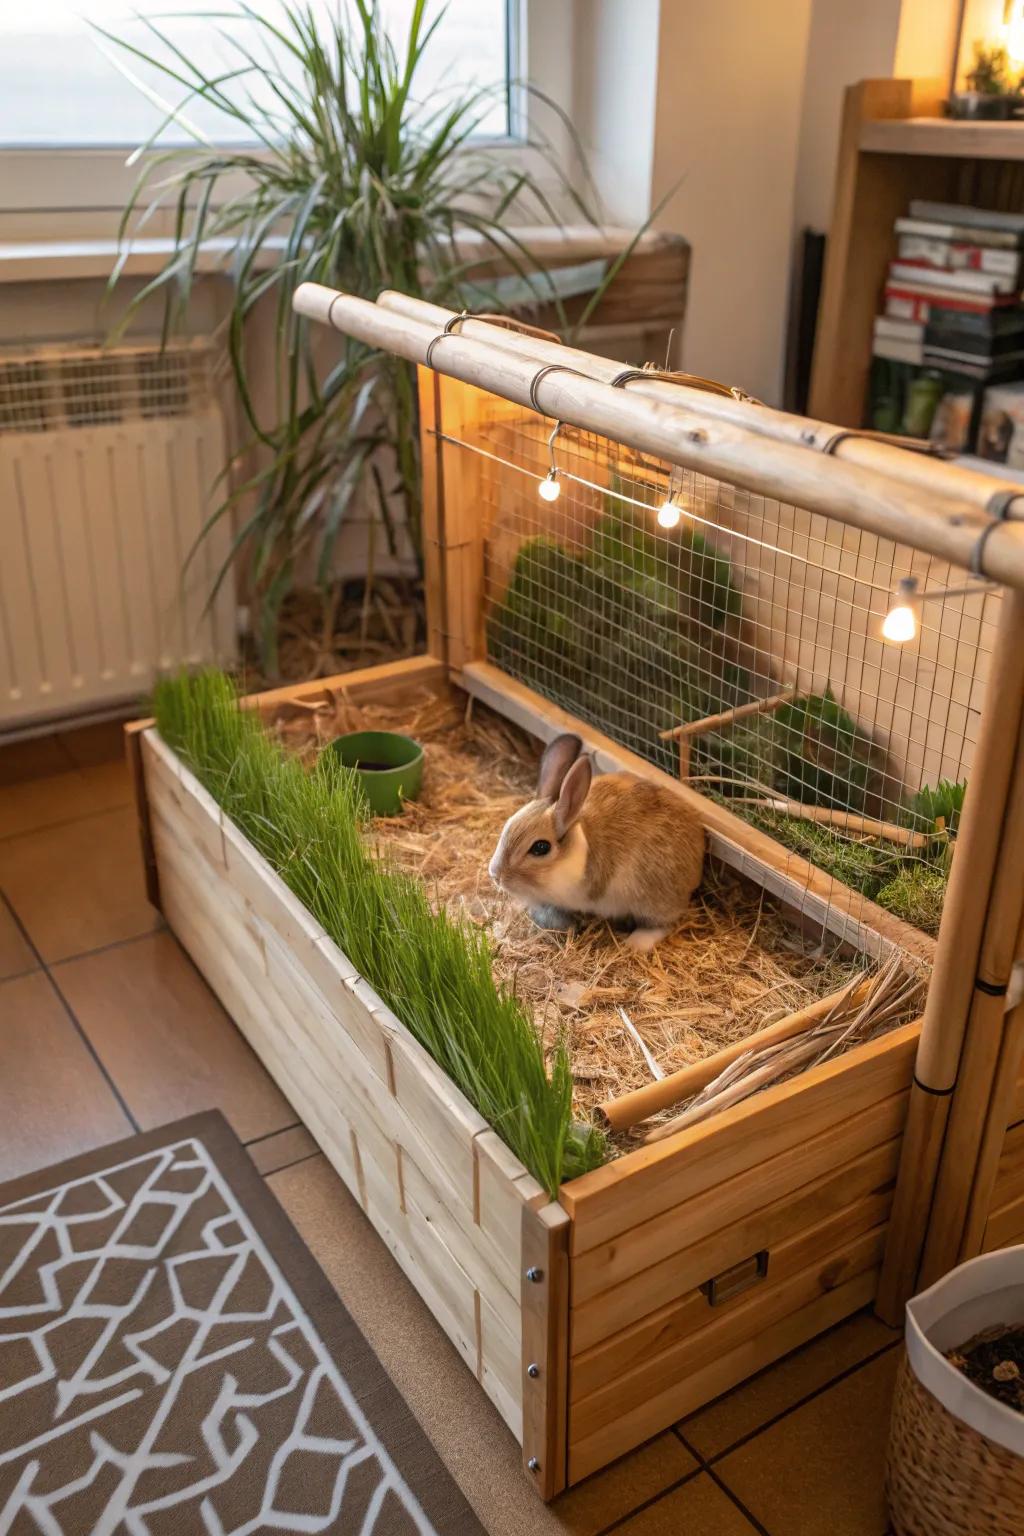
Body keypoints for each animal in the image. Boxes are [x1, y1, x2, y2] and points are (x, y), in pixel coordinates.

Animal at [488, 733, 705, 951]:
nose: (496, 875)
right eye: (507, 825)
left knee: (663, 924)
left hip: (652, 899)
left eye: (540, 847)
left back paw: (635, 943)